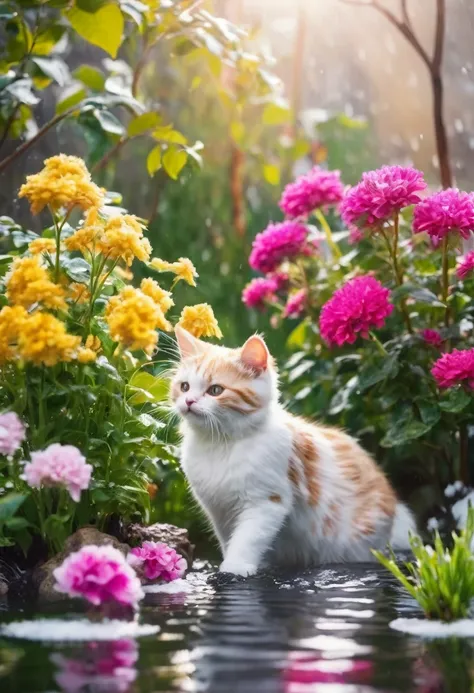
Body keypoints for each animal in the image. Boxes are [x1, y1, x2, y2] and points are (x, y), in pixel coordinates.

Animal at [170, 328, 414, 576]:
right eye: (184, 387)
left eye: (216, 390)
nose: (189, 401)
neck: (220, 444)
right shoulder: (219, 509)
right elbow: (228, 537)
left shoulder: (266, 501)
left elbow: (248, 537)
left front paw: (236, 567)